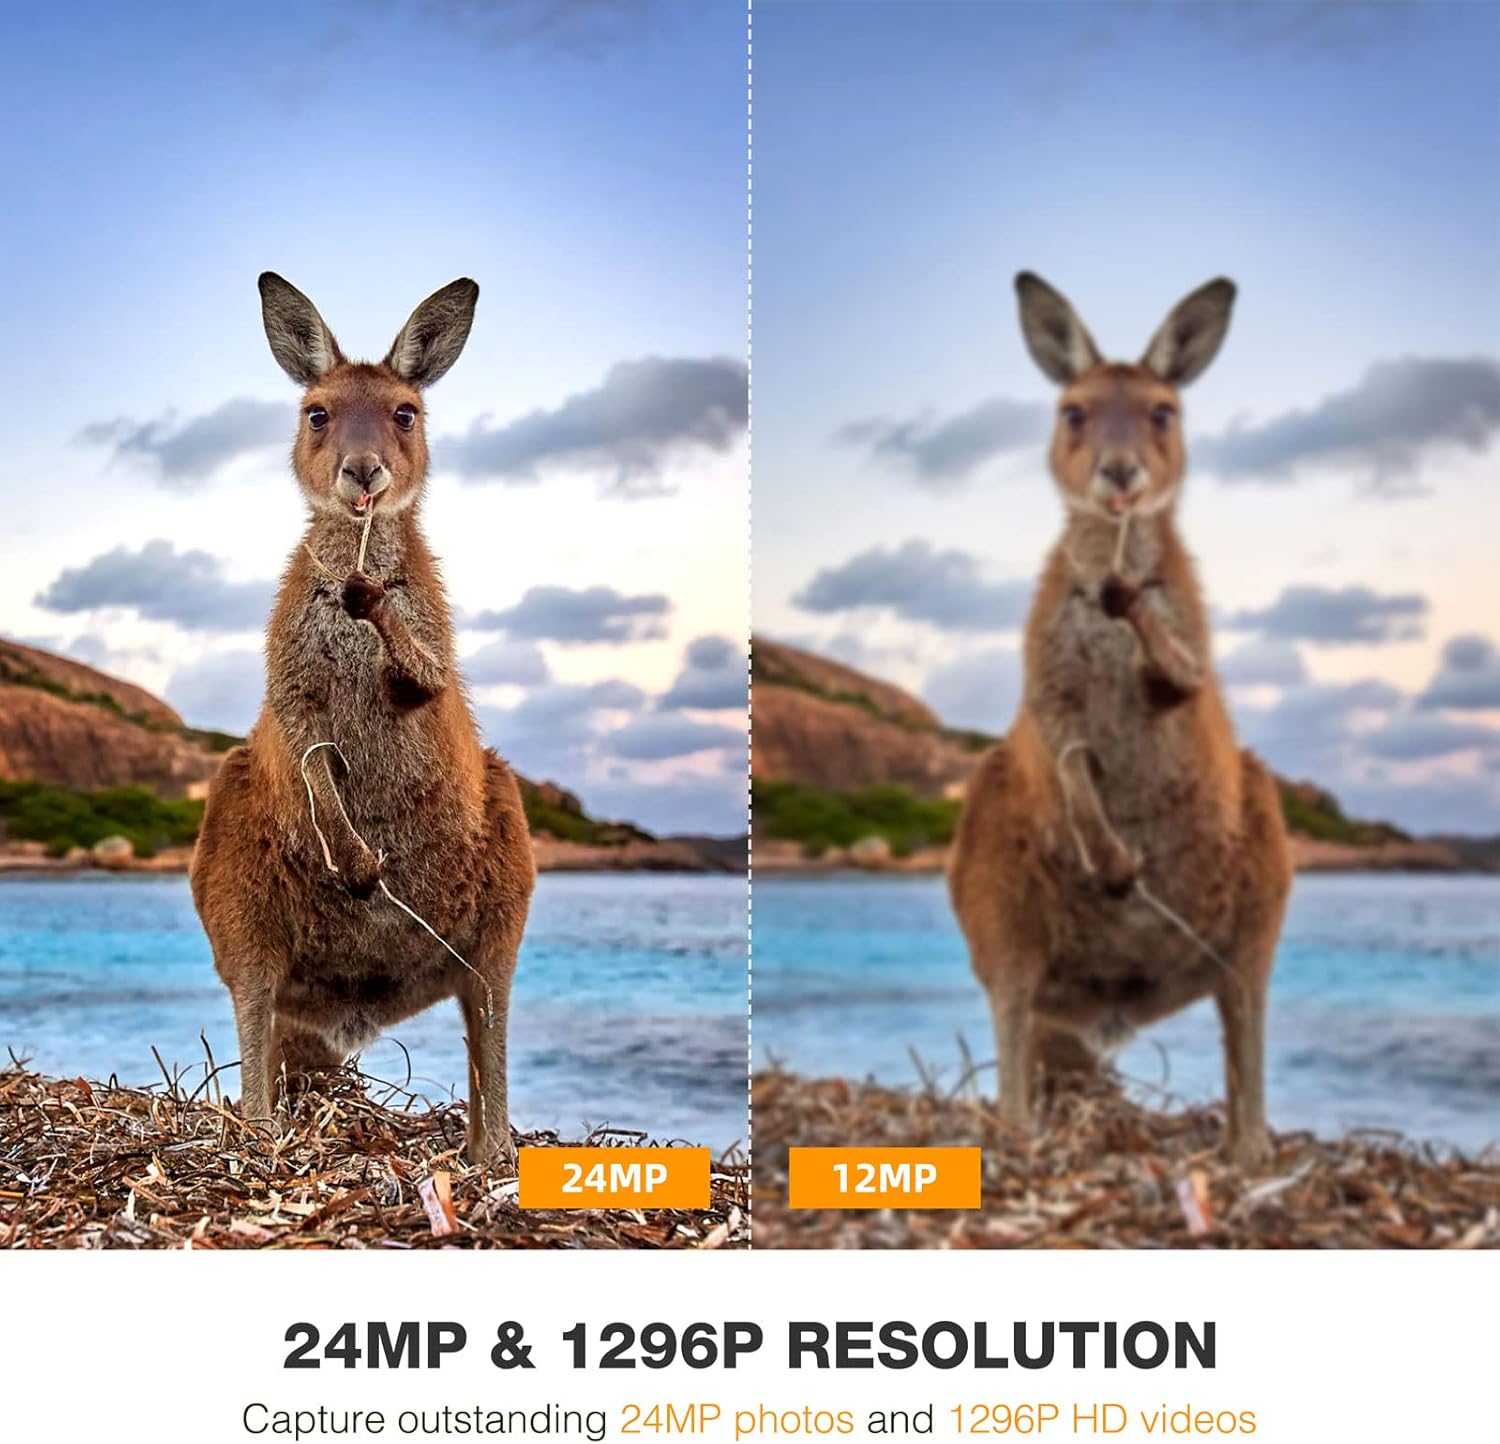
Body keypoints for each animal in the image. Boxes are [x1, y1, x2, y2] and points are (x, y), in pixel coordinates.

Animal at [190, 273, 535, 1167]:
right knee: (254, 1006)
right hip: (237, 880)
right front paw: (354, 859)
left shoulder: (431, 647)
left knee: (488, 1017)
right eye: (316, 412)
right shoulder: (290, 672)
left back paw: (487, 1158)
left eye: (406, 412)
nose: (363, 472)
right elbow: (308, 744)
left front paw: (376, 607)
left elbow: (423, 675)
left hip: (502, 872)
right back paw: (263, 1133)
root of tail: (356, 999)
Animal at [948, 273, 1291, 1168]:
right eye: (1073, 412)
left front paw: (1137, 624)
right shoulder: (1048, 684)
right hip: (997, 887)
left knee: (1245, 1020)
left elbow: (1178, 675)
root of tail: (1113, 999)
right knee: (1011, 1013)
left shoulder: (1188, 657)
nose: (1121, 473)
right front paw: (1110, 859)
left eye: (1163, 412)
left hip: (1258, 873)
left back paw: (1247, 1154)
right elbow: (1067, 753)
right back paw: (1021, 1134)